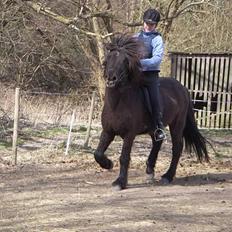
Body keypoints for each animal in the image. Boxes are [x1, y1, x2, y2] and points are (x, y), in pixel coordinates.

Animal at [93, 35, 209, 190]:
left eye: (124, 61)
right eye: (106, 60)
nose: (111, 79)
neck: (117, 104)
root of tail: (182, 88)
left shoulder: (129, 134)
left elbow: (124, 157)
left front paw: (120, 182)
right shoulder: (108, 131)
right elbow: (98, 153)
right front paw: (108, 164)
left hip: (177, 124)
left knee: (177, 148)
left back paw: (167, 176)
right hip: (154, 128)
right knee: (157, 142)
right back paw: (150, 172)